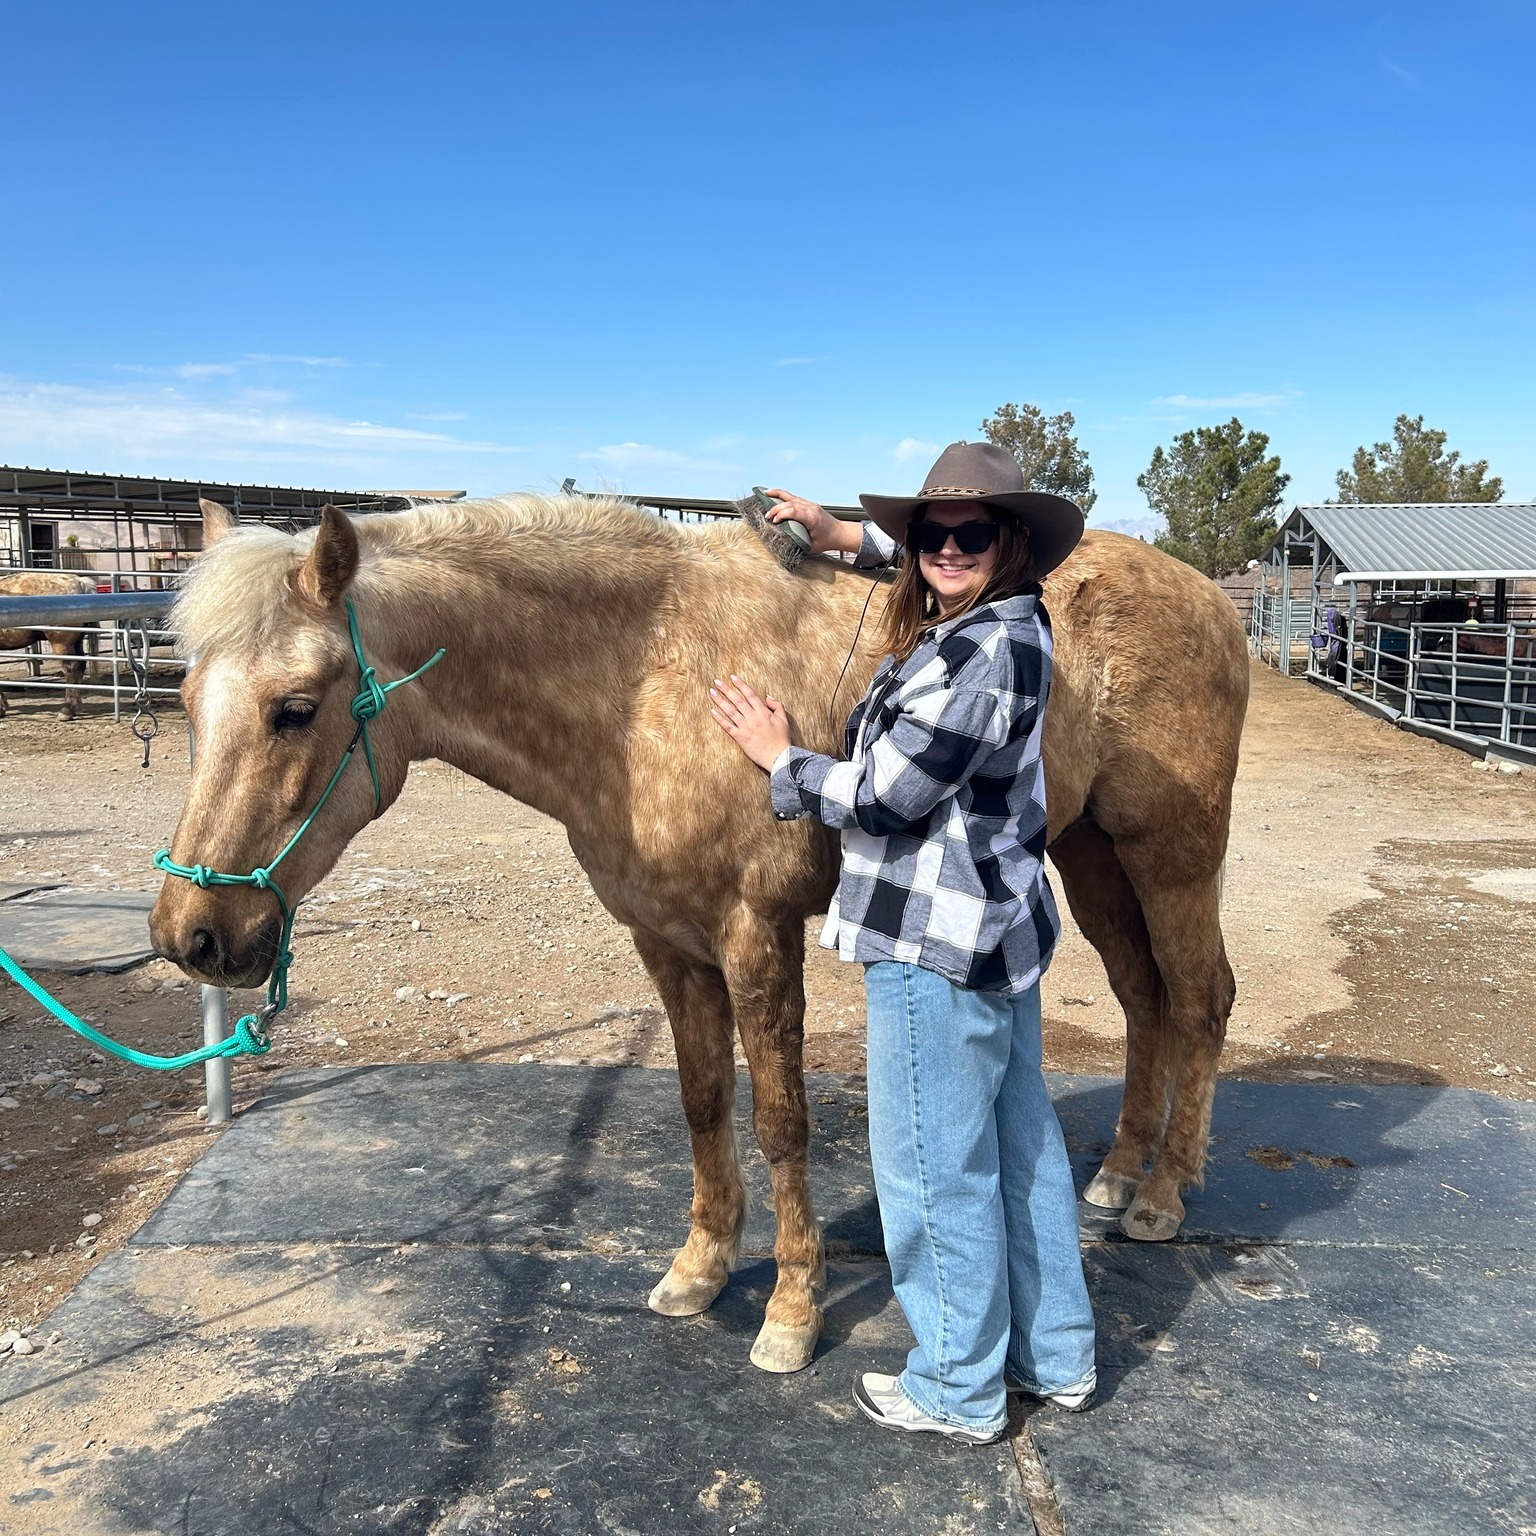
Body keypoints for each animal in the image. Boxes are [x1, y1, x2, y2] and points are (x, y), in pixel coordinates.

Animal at [0, 571, 96, 720]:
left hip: (61, 643)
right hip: (77, 641)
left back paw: (67, 710)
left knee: (71, 669)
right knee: (80, 667)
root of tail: (80, 582)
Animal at [149, 492, 1248, 1375]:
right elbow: (702, 1101)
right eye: (187, 697)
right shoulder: (667, 942)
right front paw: (702, 1267)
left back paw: (1162, 1197)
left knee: (1199, 998)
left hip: (1171, 853)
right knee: (1144, 998)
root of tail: (1215, 600)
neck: (644, 681)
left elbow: (780, 1121)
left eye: (295, 709)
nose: (191, 934)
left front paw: (793, 1313)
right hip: (1095, 854)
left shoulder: (755, 934)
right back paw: (1117, 1173)